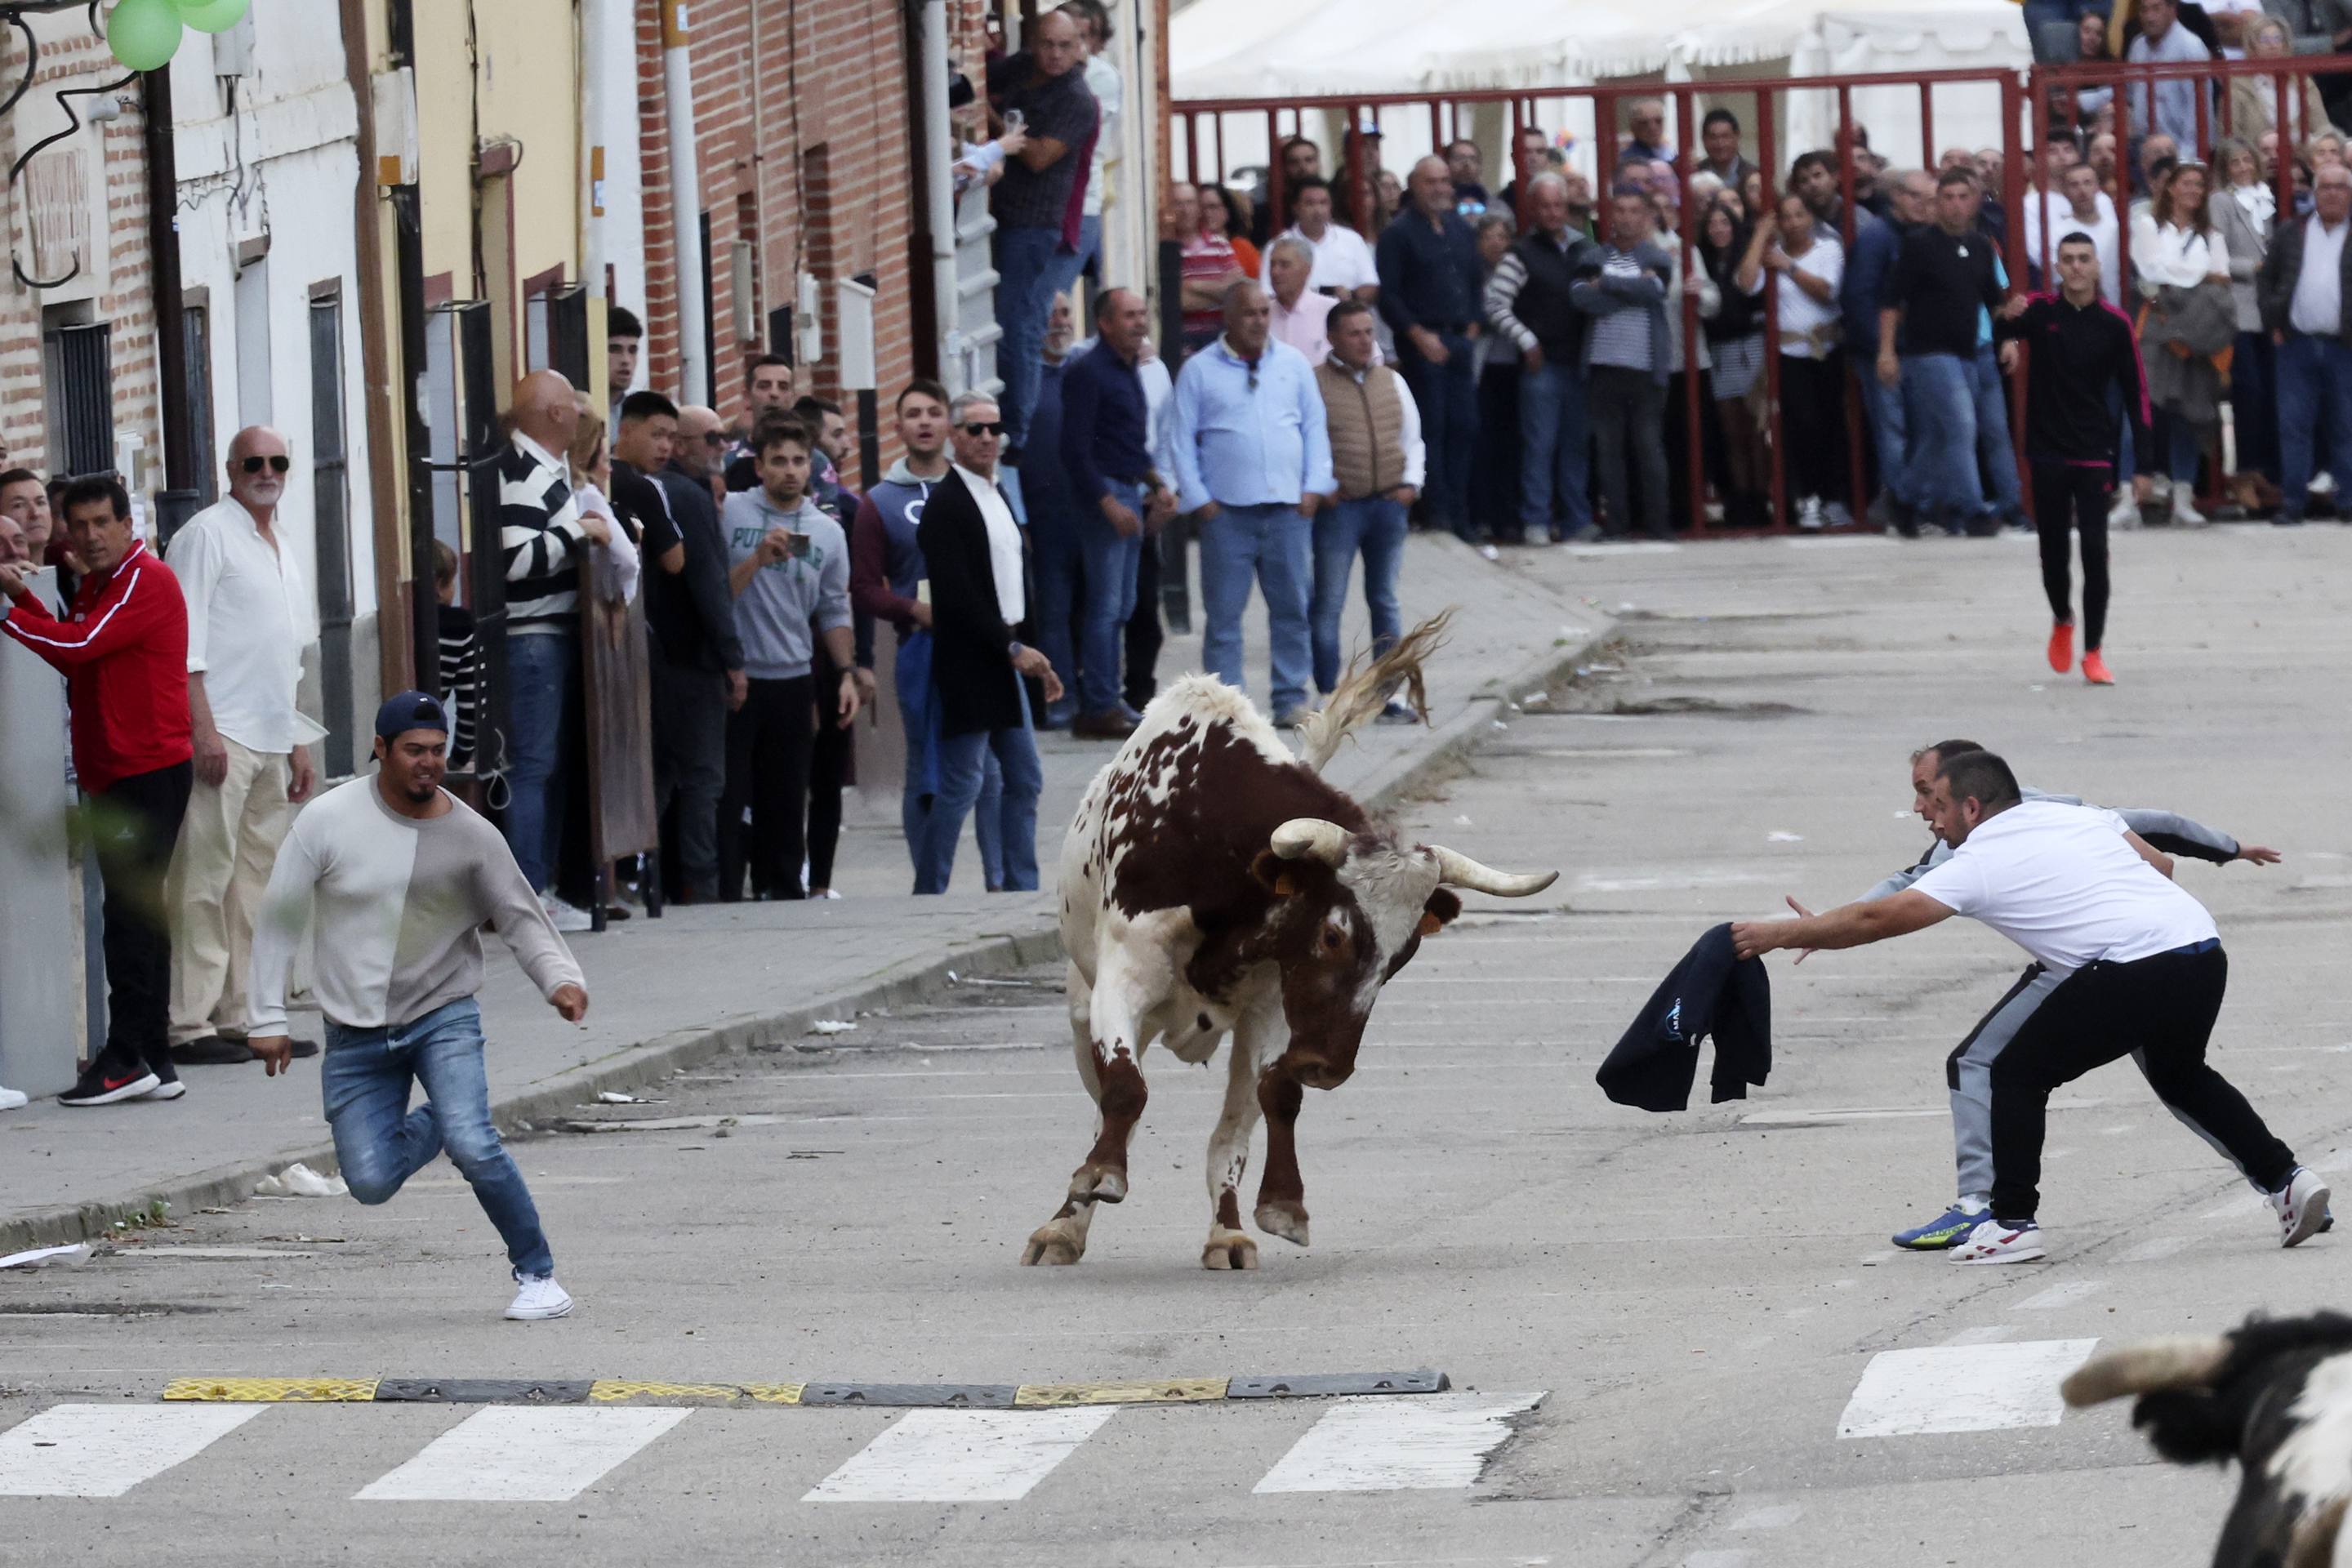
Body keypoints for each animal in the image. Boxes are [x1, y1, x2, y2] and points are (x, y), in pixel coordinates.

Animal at [1020, 620, 1552, 1269]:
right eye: (1332, 934)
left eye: (1401, 960)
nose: (1328, 1067)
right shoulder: (1124, 981)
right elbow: (1124, 1090)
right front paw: (1098, 1178)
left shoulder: (1271, 1007)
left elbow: (1275, 1098)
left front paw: (1282, 1205)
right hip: (1085, 1012)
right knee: (1106, 1102)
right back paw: (1065, 1225)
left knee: (1229, 1132)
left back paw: (1225, 1234)